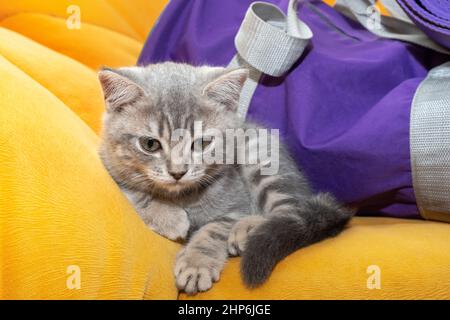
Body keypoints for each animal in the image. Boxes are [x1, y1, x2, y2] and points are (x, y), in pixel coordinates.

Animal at [98, 62, 356, 296]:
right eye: (150, 144)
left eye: (202, 143)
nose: (178, 172)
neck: (184, 197)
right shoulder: (110, 164)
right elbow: (134, 192)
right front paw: (170, 218)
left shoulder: (237, 205)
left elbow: (214, 230)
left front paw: (196, 264)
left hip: (260, 158)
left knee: (289, 209)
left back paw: (249, 229)